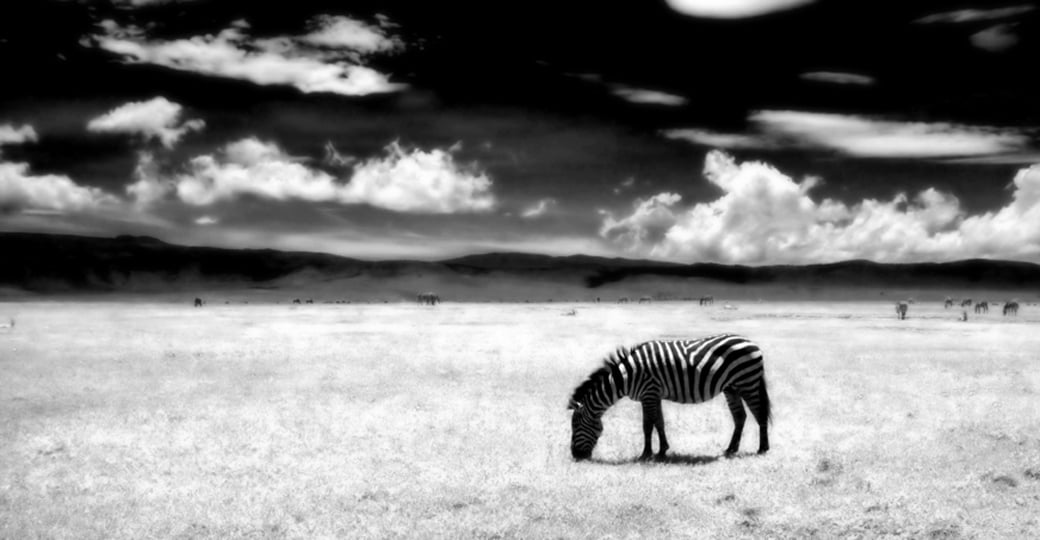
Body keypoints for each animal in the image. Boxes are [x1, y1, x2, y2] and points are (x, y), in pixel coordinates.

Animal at [568, 335, 770, 461]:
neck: (626, 376)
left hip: (747, 382)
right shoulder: (654, 395)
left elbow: (647, 425)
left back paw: (762, 449)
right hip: (732, 388)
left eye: (576, 426)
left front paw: (646, 454)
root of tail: (751, 342)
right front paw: (662, 451)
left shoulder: (648, 393)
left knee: (759, 413)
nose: (575, 455)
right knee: (740, 416)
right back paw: (731, 449)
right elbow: (659, 422)